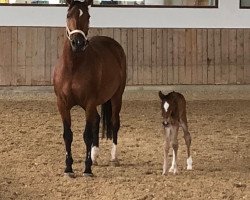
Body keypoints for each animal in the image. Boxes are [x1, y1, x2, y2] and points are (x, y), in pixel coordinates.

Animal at [53, 0, 127, 177]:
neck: (73, 67)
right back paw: (94, 156)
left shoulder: (89, 102)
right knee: (97, 120)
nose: (78, 43)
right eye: (68, 15)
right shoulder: (62, 104)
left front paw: (87, 169)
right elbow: (68, 135)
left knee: (114, 122)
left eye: (88, 16)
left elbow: (86, 134)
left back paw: (113, 158)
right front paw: (68, 168)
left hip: (117, 96)